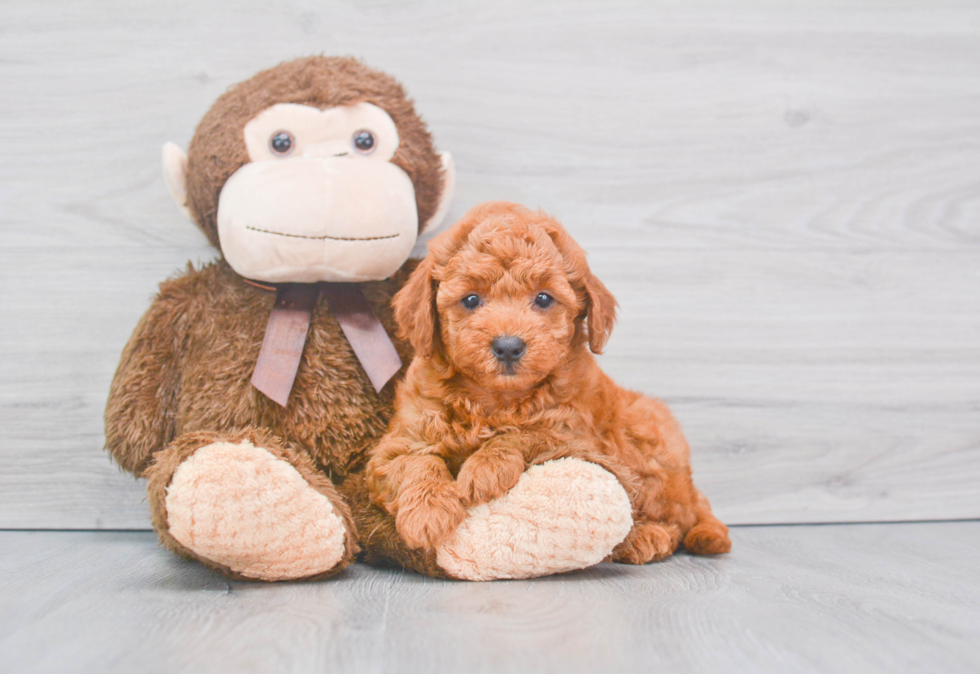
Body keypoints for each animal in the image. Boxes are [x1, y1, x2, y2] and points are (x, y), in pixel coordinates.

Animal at [366, 200, 728, 560]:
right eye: (471, 299)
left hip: (646, 439)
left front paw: (484, 468)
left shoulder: (575, 436)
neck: (495, 401)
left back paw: (648, 537)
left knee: (677, 518)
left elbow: (527, 434)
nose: (508, 346)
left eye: (543, 298)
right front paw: (427, 513)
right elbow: (415, 462)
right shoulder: (395, 445)